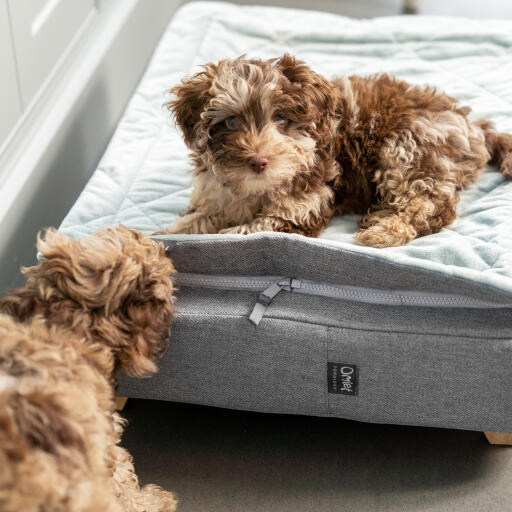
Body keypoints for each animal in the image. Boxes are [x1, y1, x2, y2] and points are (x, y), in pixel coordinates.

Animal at [158, 55, 512, 247]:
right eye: (231, 122)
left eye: (282, 119)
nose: (259, 161)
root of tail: (473, 125)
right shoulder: (217, 197)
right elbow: (195, 221)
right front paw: (163, 235)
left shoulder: (300, 209)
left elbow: (246, 231)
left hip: (409, 146)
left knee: (429, 205)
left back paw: (384, 231)